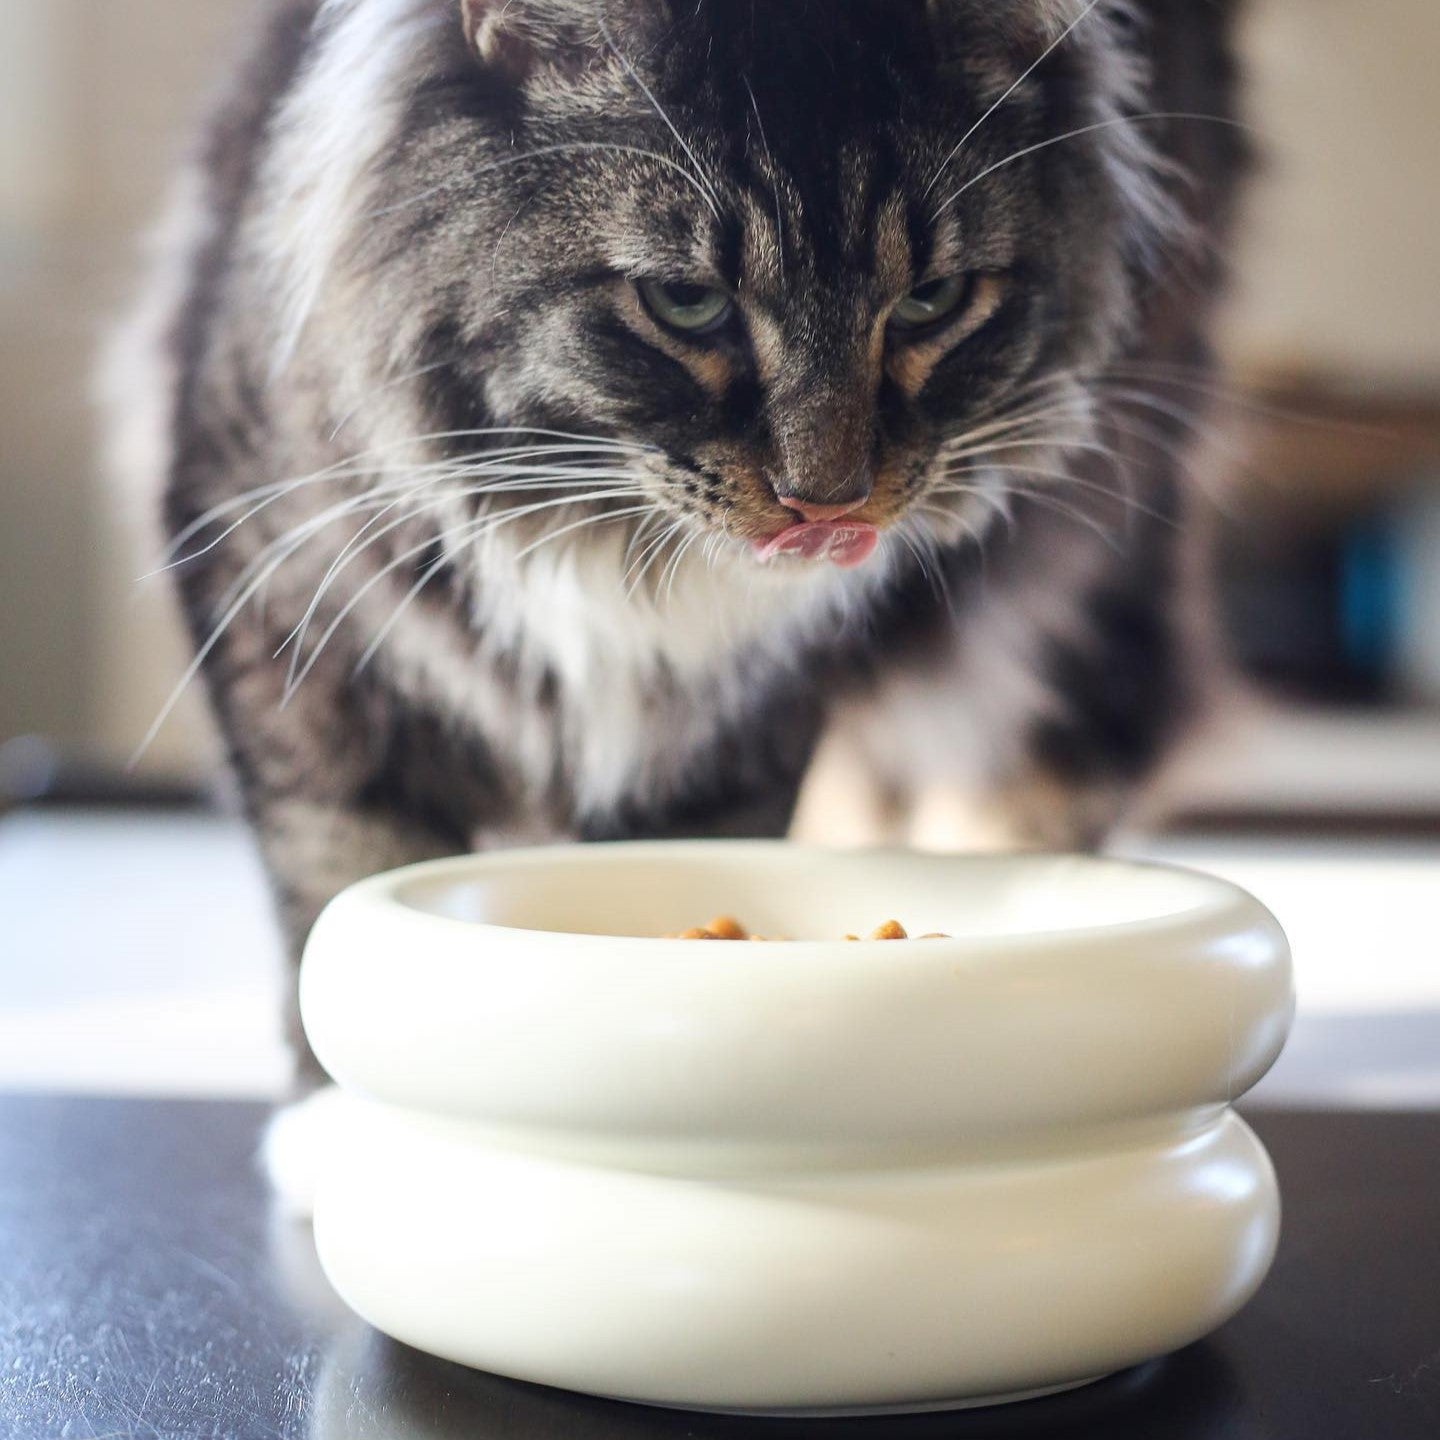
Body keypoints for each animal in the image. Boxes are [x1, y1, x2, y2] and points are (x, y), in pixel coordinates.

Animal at [112, 0, 1244, 1105]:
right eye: (686, 304)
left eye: (932, 300)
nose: (826, 499)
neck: (603, 544)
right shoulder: (291, 611)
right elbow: (339, 878)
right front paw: (335, 1120)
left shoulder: (742, 724)